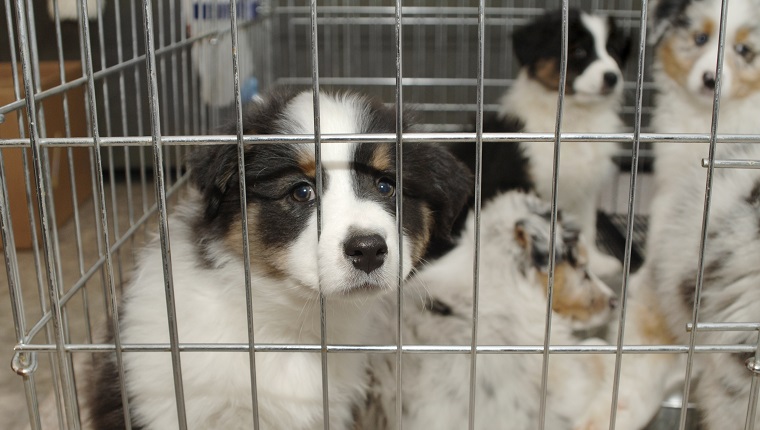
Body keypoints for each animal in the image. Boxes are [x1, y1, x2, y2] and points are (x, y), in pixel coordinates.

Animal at [460, 9, 632, 278]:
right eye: (579, 51)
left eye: (612, 50)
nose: (612, 77)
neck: (574, 120)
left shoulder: (585, 190)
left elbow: (588, 226)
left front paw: (596, 263)